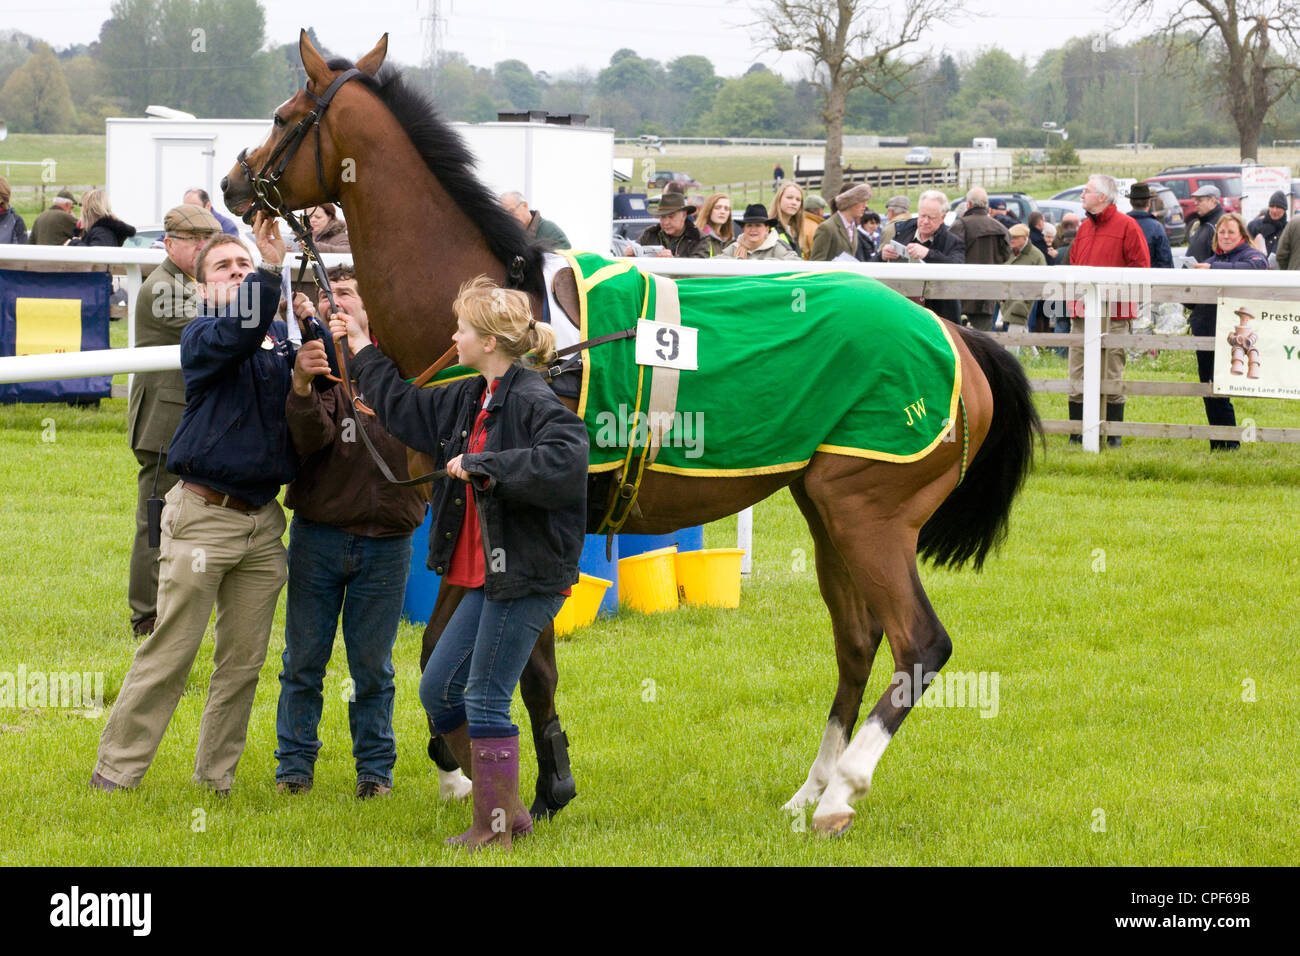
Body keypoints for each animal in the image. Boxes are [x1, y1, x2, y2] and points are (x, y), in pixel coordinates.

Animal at [222, 31, 1040, 837]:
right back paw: (808, 792)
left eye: (284, 115)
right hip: (827, 511)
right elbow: (452, 655)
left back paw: (842, 791)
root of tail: (953, 335)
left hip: (869, 514)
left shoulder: (523, 520)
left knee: (920, 643)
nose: (234, 183)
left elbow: (520, 666)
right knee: (857, 643)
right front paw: (475, 769)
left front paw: (530, 782)